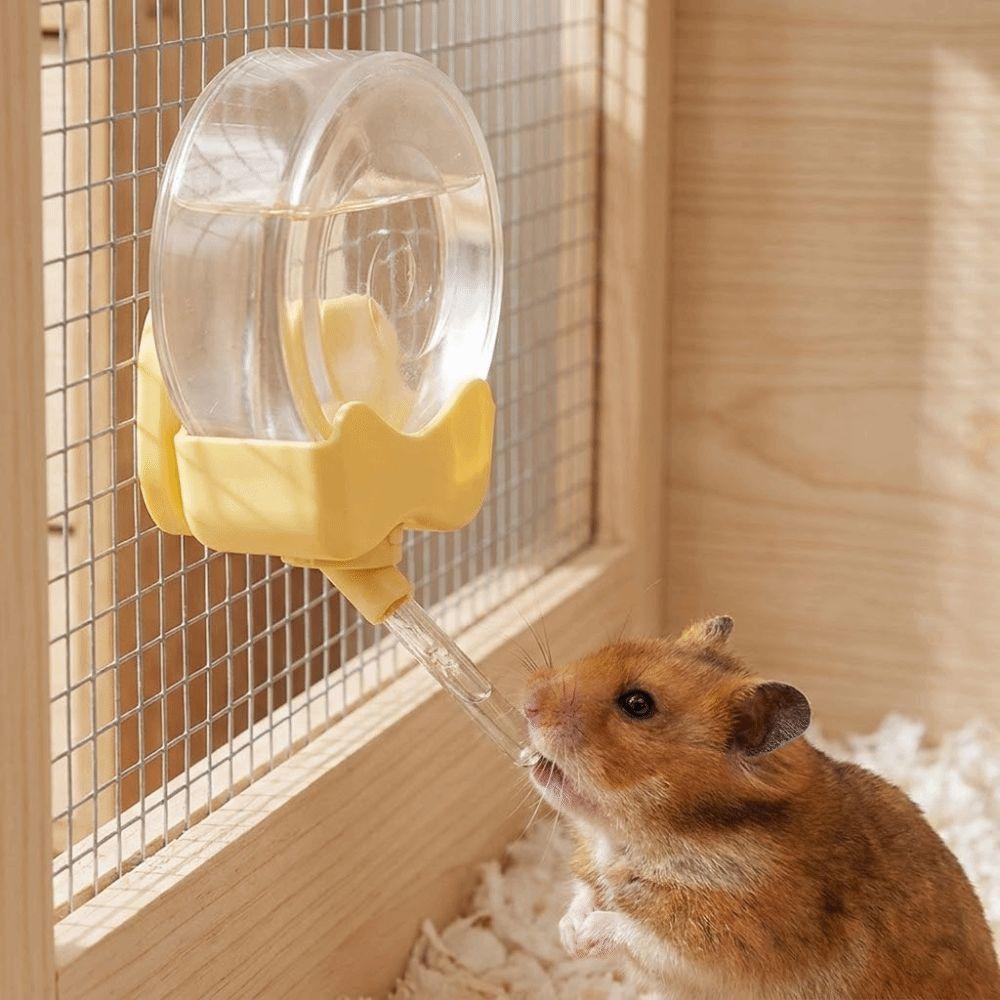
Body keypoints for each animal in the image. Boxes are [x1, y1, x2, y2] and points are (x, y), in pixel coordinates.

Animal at [523, 616, 999, 1000]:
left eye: (637, 704)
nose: (527, 701)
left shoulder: (717, 946)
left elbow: (632, 931)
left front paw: (583, 938)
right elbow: (584, 892)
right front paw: (567, 934)